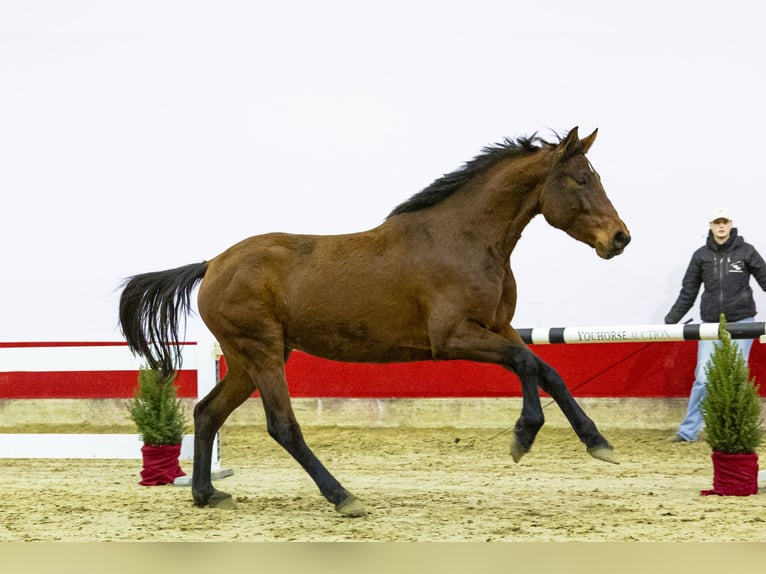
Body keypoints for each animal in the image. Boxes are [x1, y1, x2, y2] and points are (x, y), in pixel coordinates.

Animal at [119, 126, 630, 517]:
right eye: (582, 179)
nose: (620, 238)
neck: (463, 239)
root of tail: (212, 264)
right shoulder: (453, 337)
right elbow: (526, 365)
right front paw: (523, 436)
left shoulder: (497, 328)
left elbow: (547, 369)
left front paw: (598, 443)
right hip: (262, 353)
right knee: (282, 426)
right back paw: (344, 497)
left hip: (250, 360)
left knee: (207, 412)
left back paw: (207, 494)